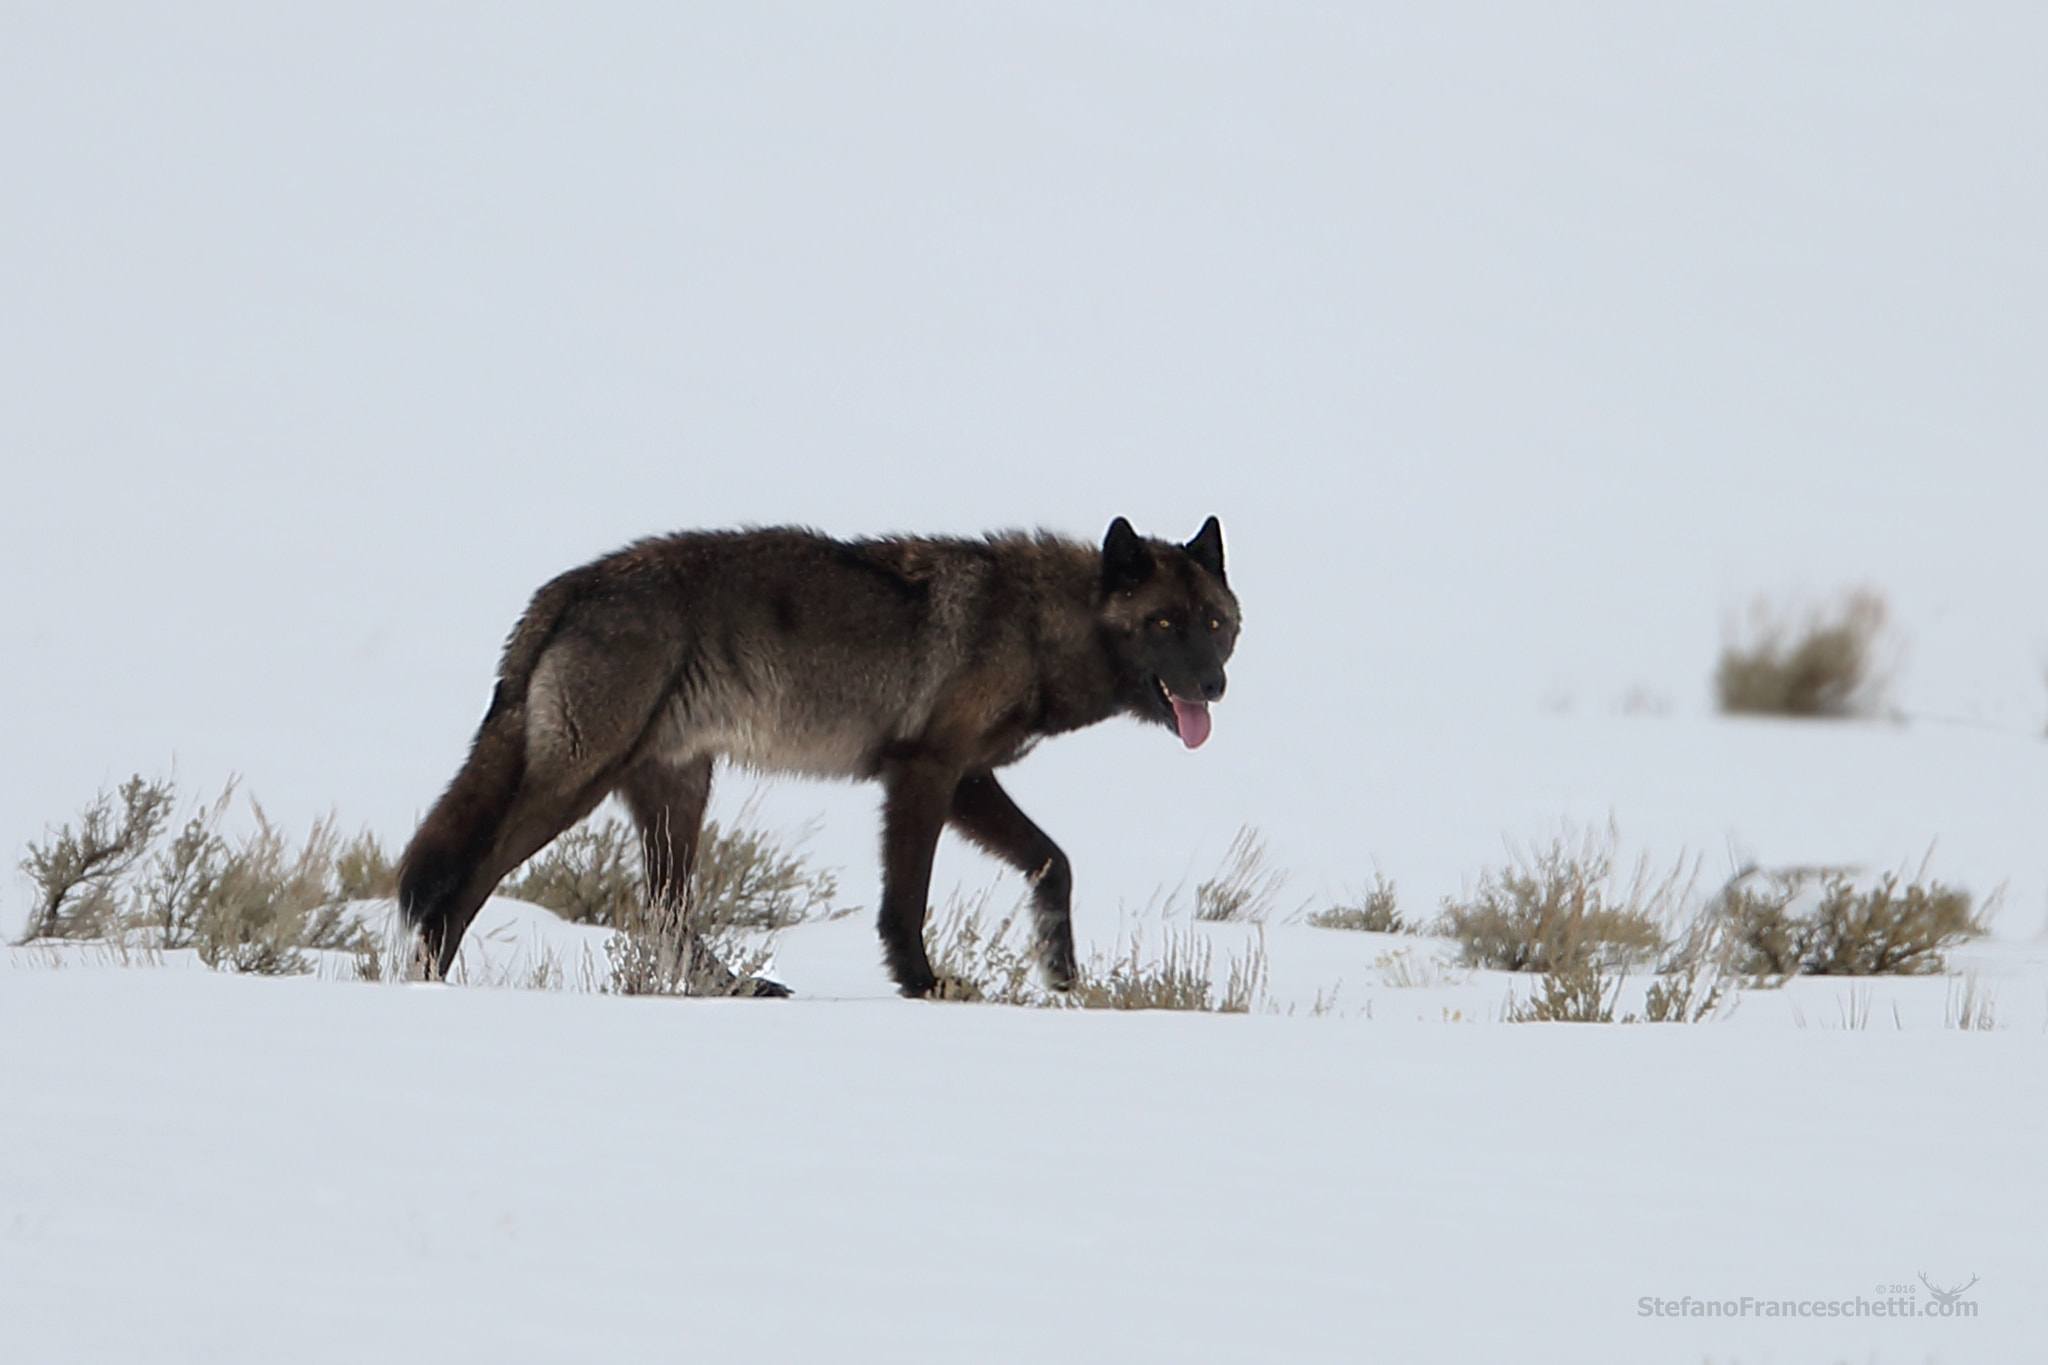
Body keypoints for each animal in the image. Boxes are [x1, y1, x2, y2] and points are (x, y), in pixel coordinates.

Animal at [393, 517, 1236, 998]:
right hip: (575, 789)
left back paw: (738, 987)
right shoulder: (925, 770)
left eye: (1216, 623)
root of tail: (567, 588)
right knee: (470, 874)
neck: (1037, 624)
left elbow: (1053, 862)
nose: (1214, 685)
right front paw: (924, 984)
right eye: (1163, 622)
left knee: (664, 909)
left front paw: (1061, 973)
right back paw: (429, 984)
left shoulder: (967, 778)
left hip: (677, 793)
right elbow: (905, 902)